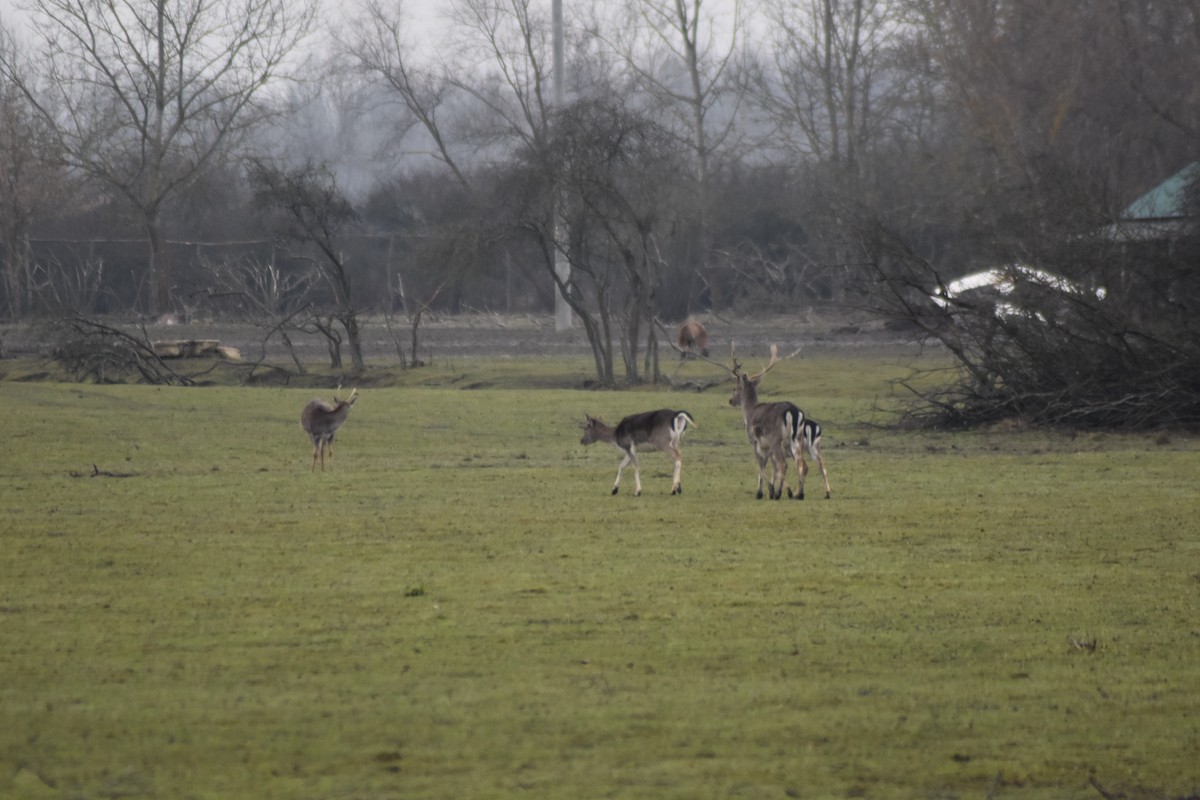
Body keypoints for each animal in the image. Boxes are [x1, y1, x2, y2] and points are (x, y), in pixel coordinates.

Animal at [728, 344, 831, 500]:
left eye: (735, 388)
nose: (731, 401)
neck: (749, 412)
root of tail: (793, 412)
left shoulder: (755, 442)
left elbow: (761, 466)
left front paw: (766, 491)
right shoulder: (767, 447)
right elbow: (769, 467)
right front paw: (776, 490)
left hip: (777, 439)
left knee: (784, 464)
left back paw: (779, 493)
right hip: (798, 441)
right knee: (807, 465)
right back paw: (802, 494)